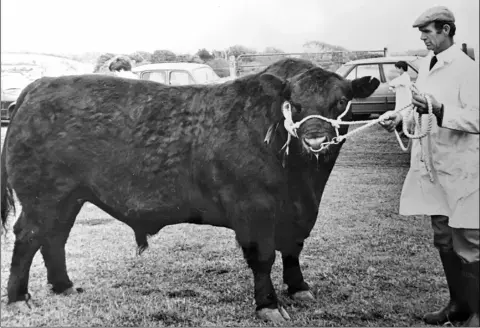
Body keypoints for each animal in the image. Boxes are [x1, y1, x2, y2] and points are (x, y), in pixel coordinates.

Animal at [0, 57, 378, 322]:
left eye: (340, 101)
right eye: (295, 105)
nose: (315, 136)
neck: (303, 180)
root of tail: (37, 87)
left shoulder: (298, 212)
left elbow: (293, 249)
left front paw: (299, 288)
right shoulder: (253, 208)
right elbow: (263, 257)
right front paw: (269, 305)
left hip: (68, 197)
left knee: (54, 237)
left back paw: (64, 286)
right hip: (43, 197)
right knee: (29, 236)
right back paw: (19, 299)